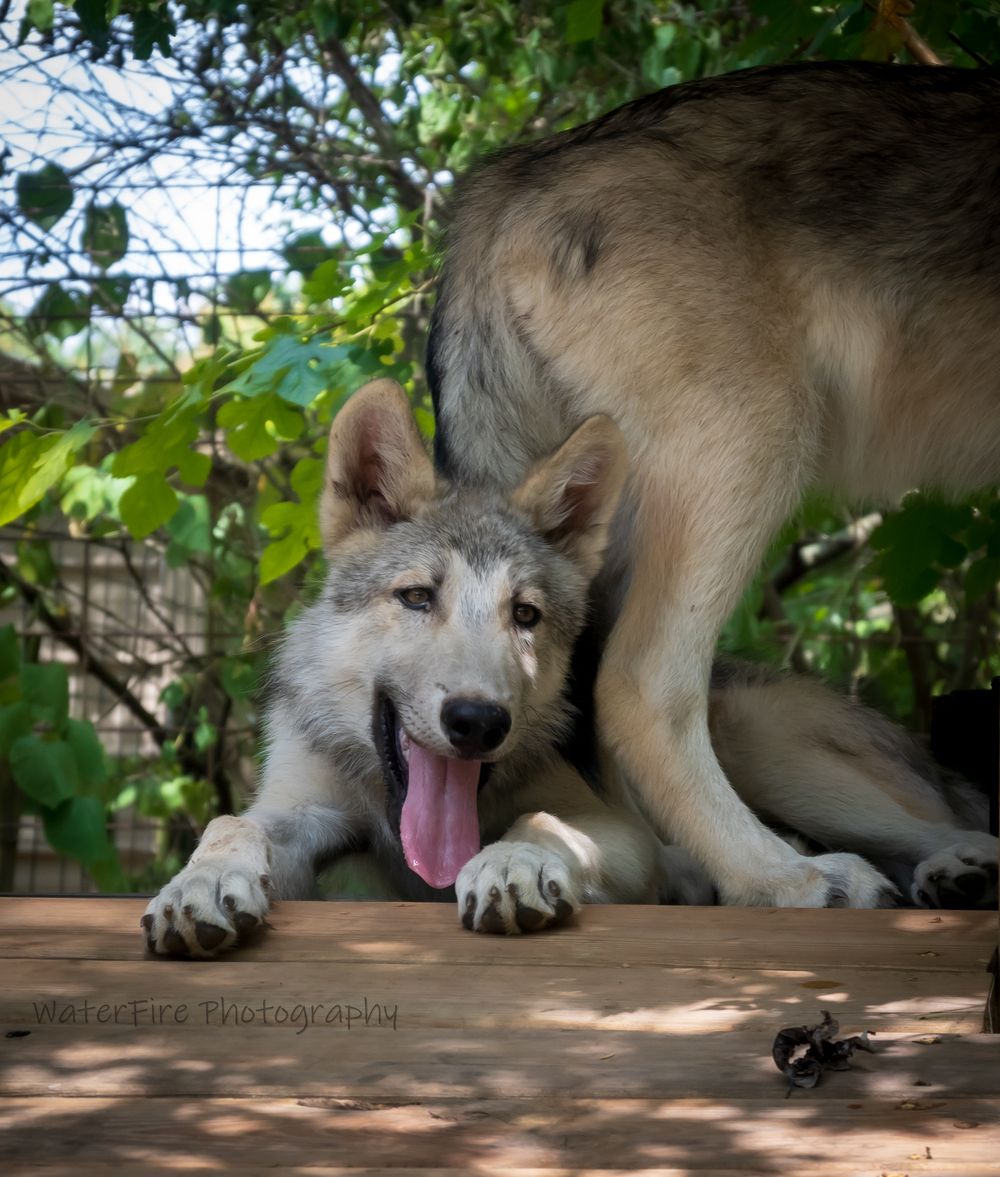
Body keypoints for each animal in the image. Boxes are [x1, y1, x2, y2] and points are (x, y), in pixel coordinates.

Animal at [142, 381, 996, 956]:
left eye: (525, 615)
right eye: (417, 597)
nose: (479, 720)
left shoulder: (621, 830)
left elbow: (542, 822)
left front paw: (512, 863)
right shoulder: (303, 807)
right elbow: (230, 822)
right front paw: (197, 884)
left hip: (776, 758)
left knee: (932, 825)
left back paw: (942, 866)